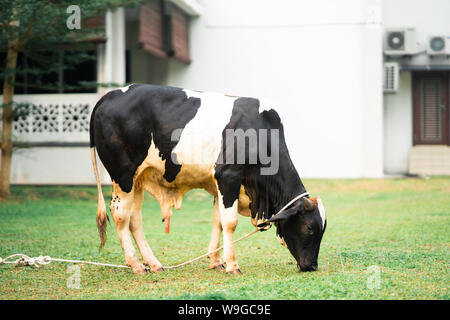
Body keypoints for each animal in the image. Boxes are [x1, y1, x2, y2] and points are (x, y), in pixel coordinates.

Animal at [89, 84, 326, 276]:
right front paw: (232, 265)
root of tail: (111, 94)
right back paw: (136, 265)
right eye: (309, 228)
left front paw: (215, 261)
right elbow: (230, 222)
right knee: (120, 215)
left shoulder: (220, 185)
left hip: (138, 178)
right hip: (123, 175)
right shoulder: (229, 177)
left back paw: (153, 263)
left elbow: (218, 221)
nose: (312, 266)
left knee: (135, 219)